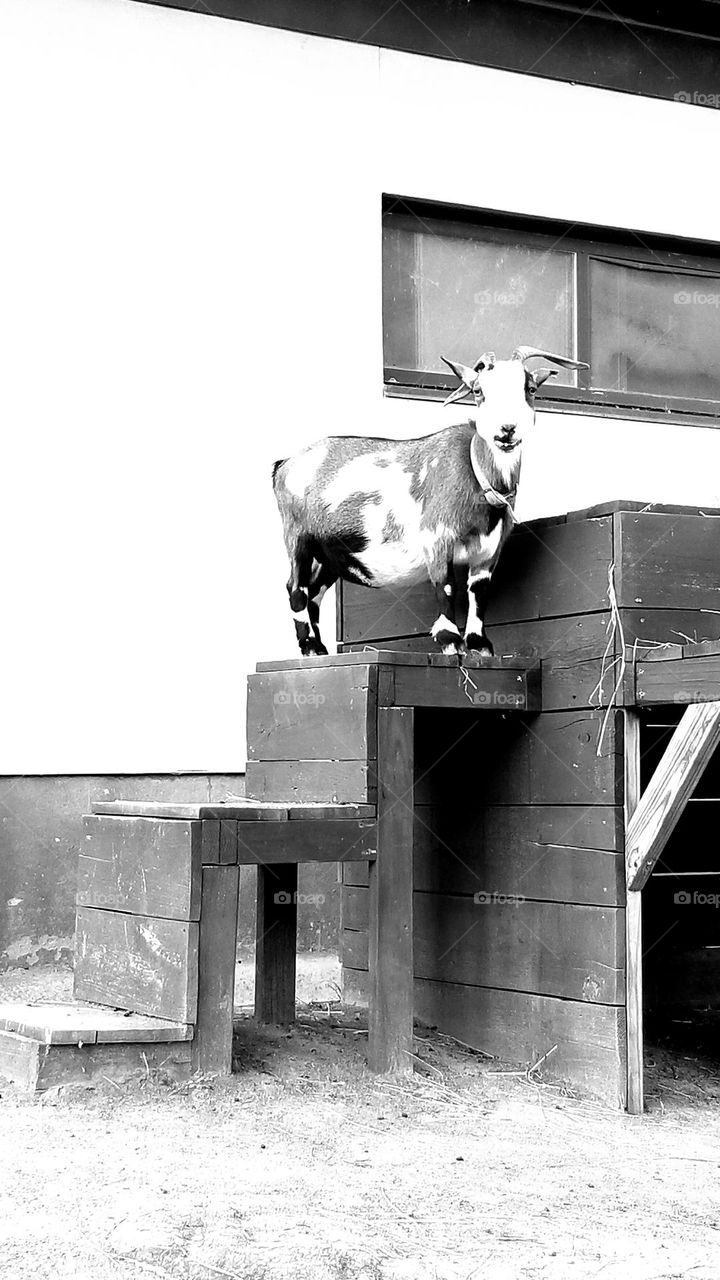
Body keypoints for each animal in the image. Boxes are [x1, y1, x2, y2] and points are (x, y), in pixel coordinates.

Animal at [272, 346, 588, 657]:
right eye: (478, 391)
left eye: (530, 388)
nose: (506, 429)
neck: (476, 474)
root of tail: (284, 464)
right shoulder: (437, 537)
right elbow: (446, 585)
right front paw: (450, 639)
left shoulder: (490, 549)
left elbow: (478, 591)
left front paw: (479, 644)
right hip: (298, 536)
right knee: (296, 587)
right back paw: (309, 644)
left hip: (330, 554)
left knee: (314, 592)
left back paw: (319, 649)